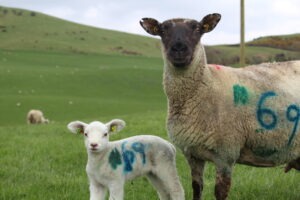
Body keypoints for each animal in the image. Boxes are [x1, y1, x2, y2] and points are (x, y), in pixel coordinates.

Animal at [141, 13, 300, 199]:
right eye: (163, 30)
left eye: (197, 28)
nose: (179, 48)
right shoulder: (192, 154)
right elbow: (197, 188)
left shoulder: (225, 154)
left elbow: (220, 192)